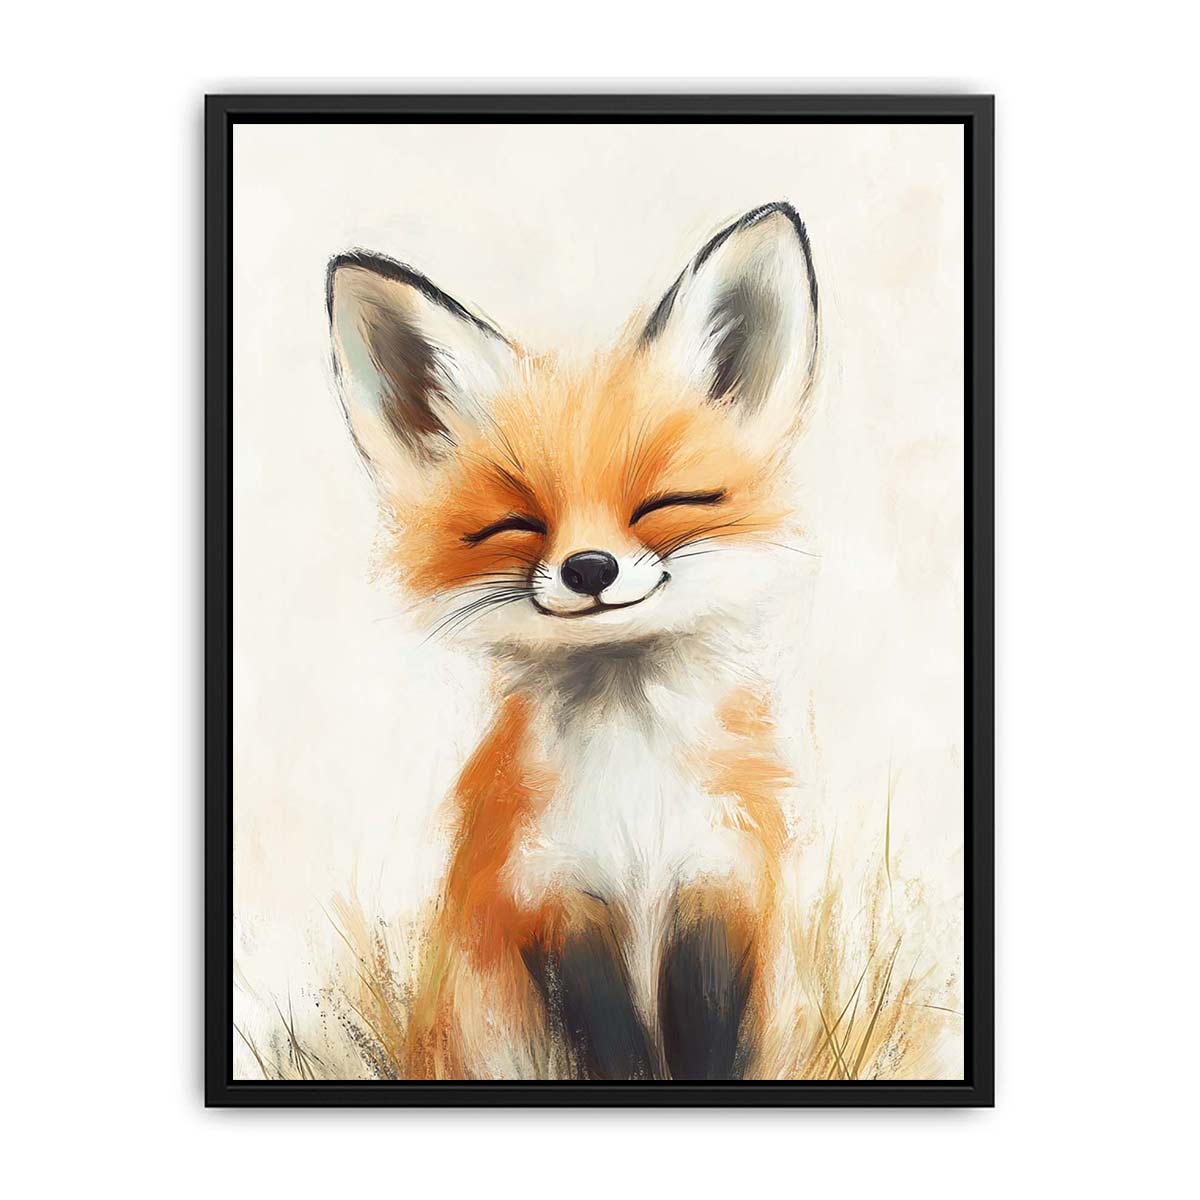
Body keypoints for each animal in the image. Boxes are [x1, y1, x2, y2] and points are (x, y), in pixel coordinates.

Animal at [326, 202, 820, 1080]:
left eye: (666, 501)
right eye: (515, 522)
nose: (590, 567)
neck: (634, 799)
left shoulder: (718, 895)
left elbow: (711, 1050)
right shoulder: (555, 911)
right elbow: (620, 1056)